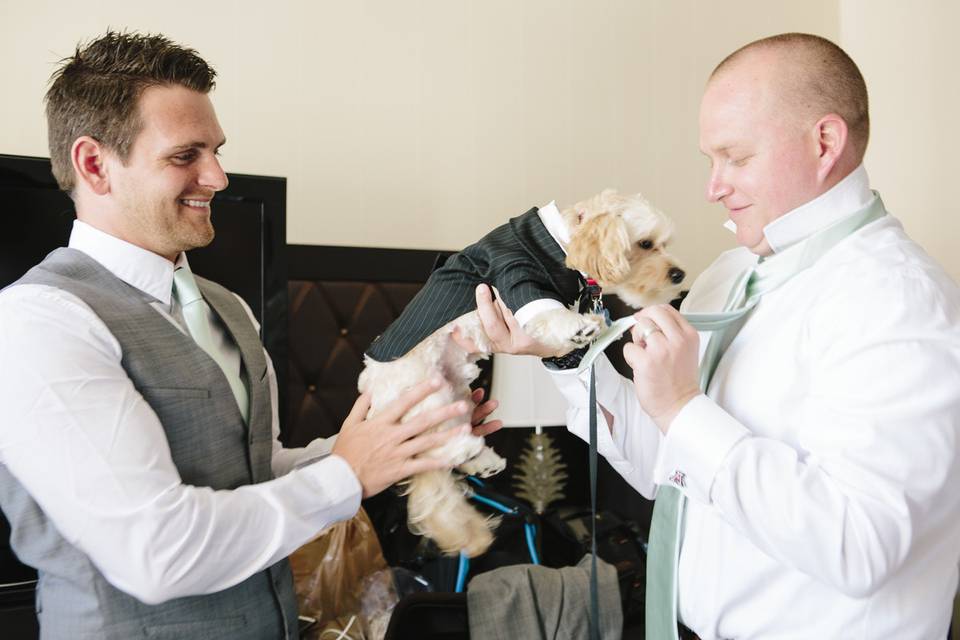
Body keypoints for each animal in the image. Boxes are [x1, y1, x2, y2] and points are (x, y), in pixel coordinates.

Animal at [358, 189, 684, 556]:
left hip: (458, 398)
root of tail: (375, 394)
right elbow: (548, 313)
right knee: (431, 449)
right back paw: (464, 450)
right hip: (427, 396)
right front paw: (578, 327)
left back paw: (480, 459)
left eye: (664, 243)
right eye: (646, 243)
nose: (679, 275)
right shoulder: (515, 274)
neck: (564, 240)